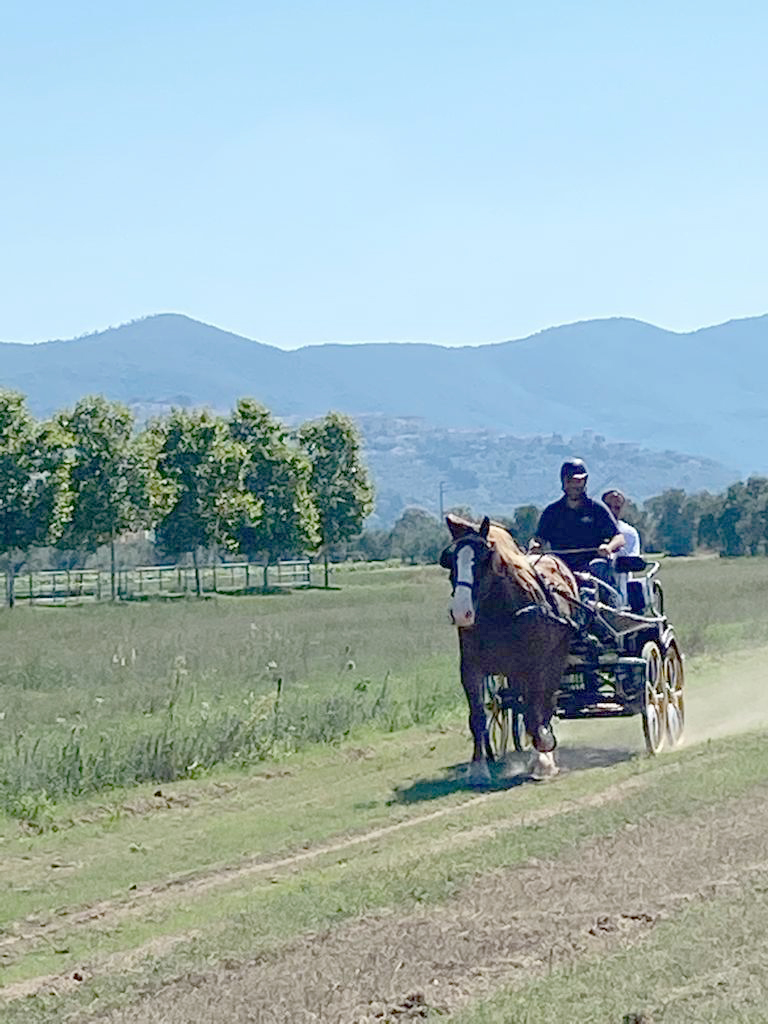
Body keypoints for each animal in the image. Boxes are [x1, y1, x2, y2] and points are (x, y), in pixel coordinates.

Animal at [442, 512, 581, 782]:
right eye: (450, 561)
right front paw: (478, 768)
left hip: (553, 660)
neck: (501, 612)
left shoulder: (535, 666)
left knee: (545, 703)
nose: (461, 613)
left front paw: (544, 753)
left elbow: (535, 713)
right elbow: (477, 715)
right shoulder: (471, 667)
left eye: (483, 560)